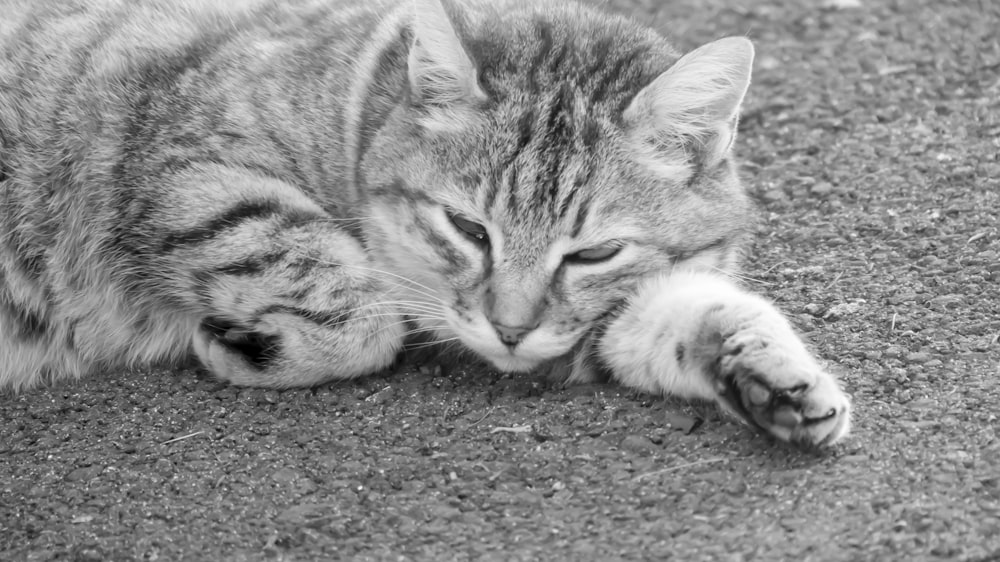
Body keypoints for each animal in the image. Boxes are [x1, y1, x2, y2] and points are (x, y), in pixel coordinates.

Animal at [0, 0, 852, 446]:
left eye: (595, 253)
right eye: (468, 230)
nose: (509, 329)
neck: (358, 97)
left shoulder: (606, 318)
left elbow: (701, 313)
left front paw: (771, 374)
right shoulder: (185, 170)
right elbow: (351, 301)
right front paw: (250, 346)